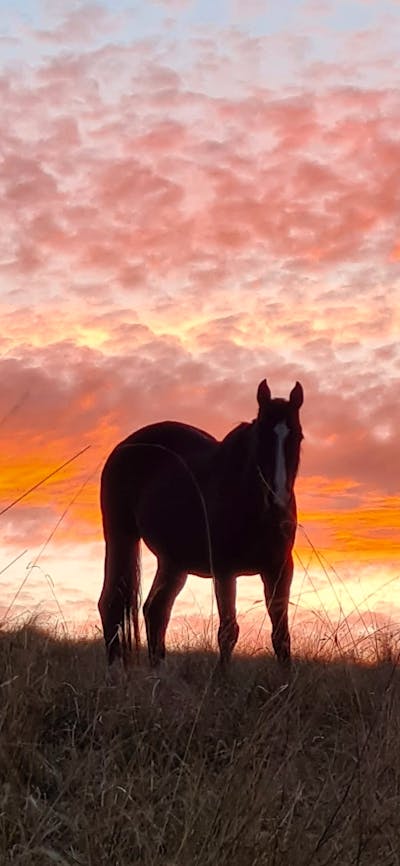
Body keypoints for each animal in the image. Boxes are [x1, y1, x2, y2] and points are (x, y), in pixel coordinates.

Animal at [98, 379, 304, 669]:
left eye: (297, 437)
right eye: (262, 438)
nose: (278, 503)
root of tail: (125, 447)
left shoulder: (278, 569)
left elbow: (281, 636)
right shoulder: (225, 570)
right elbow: (228, 632)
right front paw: (222, 679)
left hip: (173, 562)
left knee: (155, 609)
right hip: (120, 537)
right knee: (112, 604)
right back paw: (115, 671)